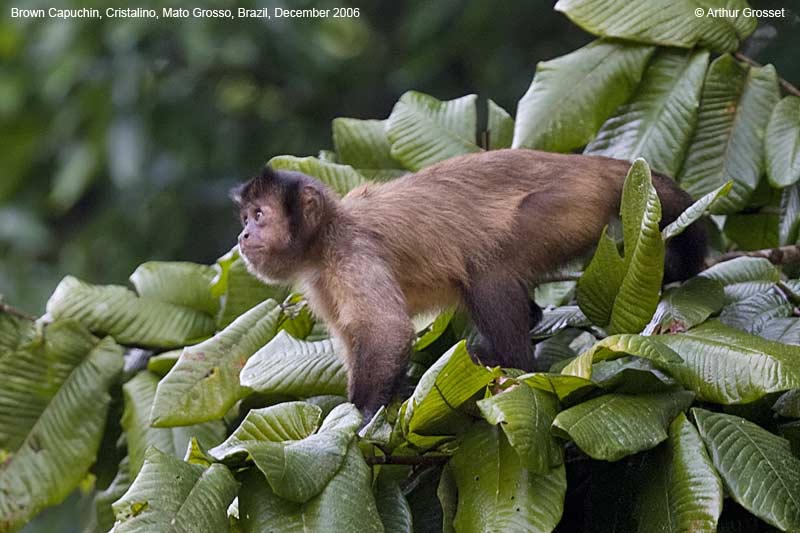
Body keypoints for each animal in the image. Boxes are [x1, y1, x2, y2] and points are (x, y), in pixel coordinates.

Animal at [230, 147, 708, 420]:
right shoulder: (320, 279)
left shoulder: (350, 253)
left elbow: (387, 331)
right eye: (246, 218)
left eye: (260, 216)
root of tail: (593, 166)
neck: (326, 234)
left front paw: (363, 414)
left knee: (486, 271)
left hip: (564, 208)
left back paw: (517, 368)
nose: (243, 236)